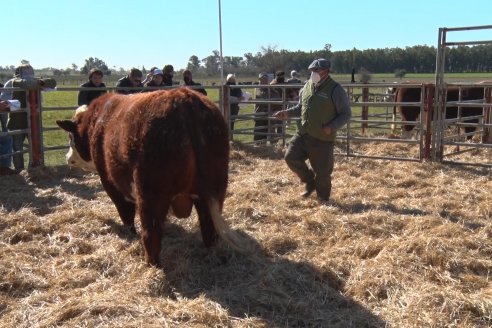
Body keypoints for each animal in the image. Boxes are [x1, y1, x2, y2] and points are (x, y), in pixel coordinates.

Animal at [57, 88, 244, 266]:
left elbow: (125, 212)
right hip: (215, 190)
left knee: (151, 234)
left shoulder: (110, 182)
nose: (67, 157)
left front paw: (130, 233)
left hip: (151, 194)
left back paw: (150, 264)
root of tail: (184, 97)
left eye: (71, 136)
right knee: (209, 228)